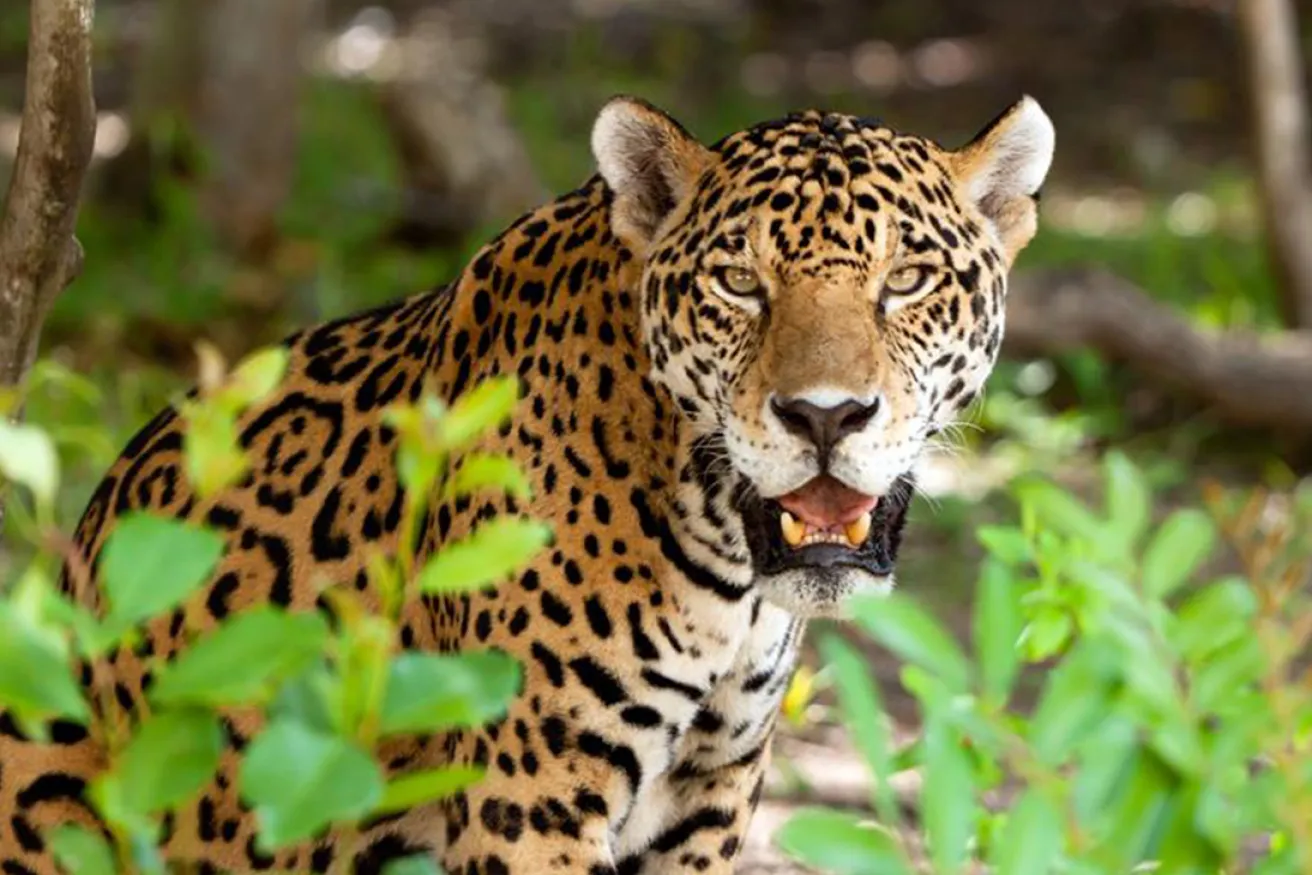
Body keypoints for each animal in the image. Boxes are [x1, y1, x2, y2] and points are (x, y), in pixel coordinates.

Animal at [0, 94, 1054, 875]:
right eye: (739, 285)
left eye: (908, 281)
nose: (825, 416)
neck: (725, 563)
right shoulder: (534, 798)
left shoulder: (710, 798)